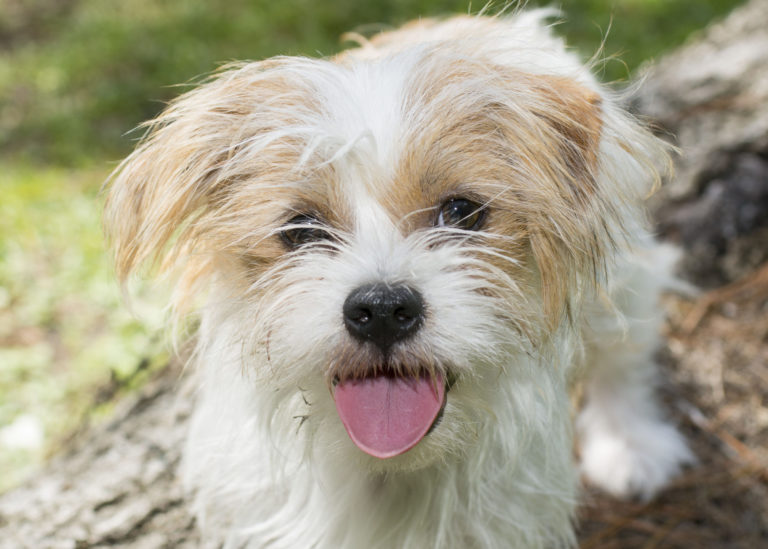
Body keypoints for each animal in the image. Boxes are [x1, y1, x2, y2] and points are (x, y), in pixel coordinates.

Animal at [105, 9, 692, 548]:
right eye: (301, 229)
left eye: (461, 211)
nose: (383, 309)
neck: (386, 466)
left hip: (619, 282)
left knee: (623, 354)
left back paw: (630, 445)